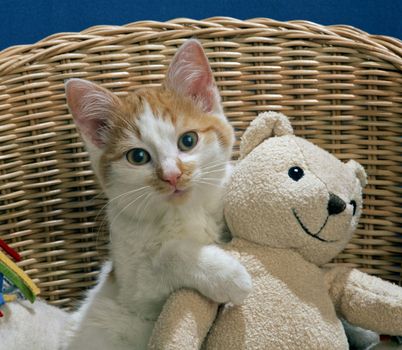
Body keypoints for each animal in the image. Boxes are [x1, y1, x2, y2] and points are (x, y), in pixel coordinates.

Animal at [63, 39, 251, 348]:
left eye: (188, 140)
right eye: (138, 157)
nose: (172, 175)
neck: (182, 212)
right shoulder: (133, 295)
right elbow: (166, 258)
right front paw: (227, 275)